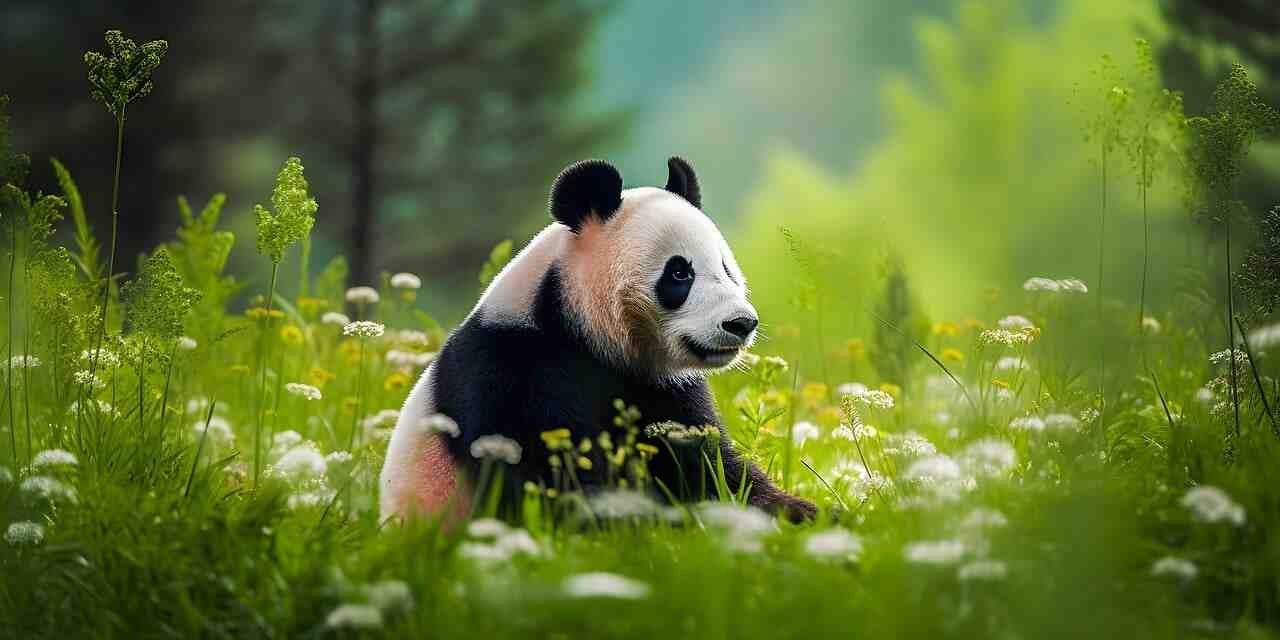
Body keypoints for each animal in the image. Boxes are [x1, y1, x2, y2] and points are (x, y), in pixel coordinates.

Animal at [379, 157, 816, 523]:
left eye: (726, 268)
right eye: (679, 273)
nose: (741, 323)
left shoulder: (661, 387)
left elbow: (707, 466)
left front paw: (801, 512)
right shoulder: (512, 369)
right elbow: (546, 473)